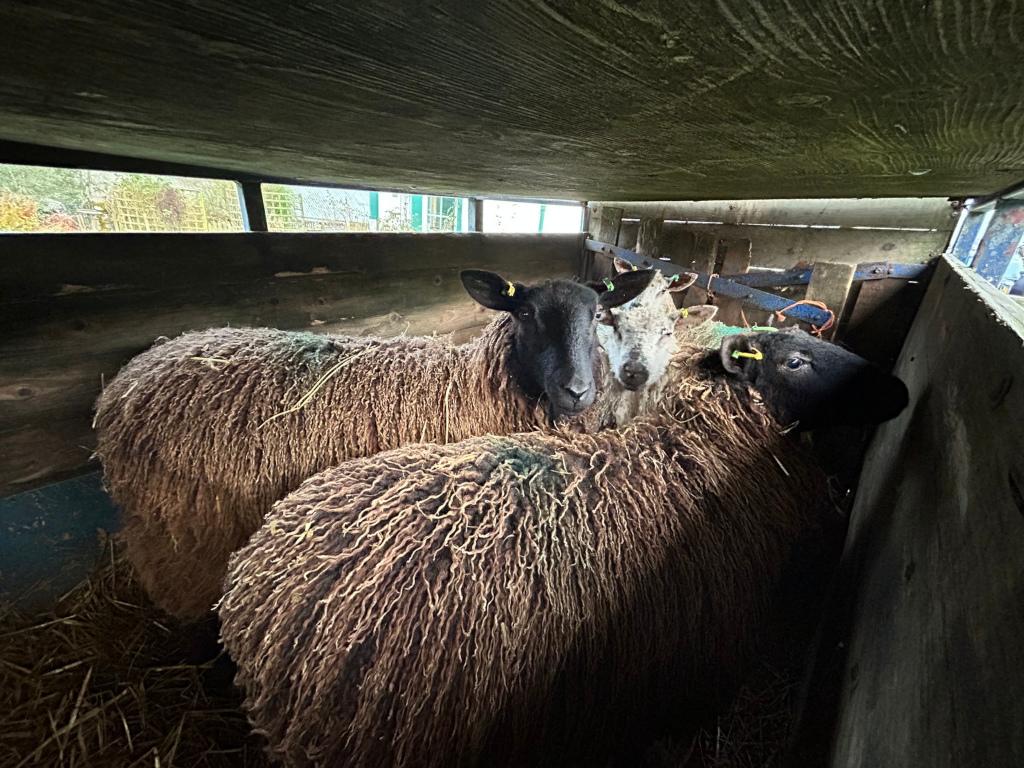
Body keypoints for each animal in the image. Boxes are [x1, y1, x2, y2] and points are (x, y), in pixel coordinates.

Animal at [93, 268, 655, 620]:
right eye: (525, 315)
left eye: (597, 314)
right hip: (182, 543)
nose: (577, 390)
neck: (473, 383)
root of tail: (122, 385)